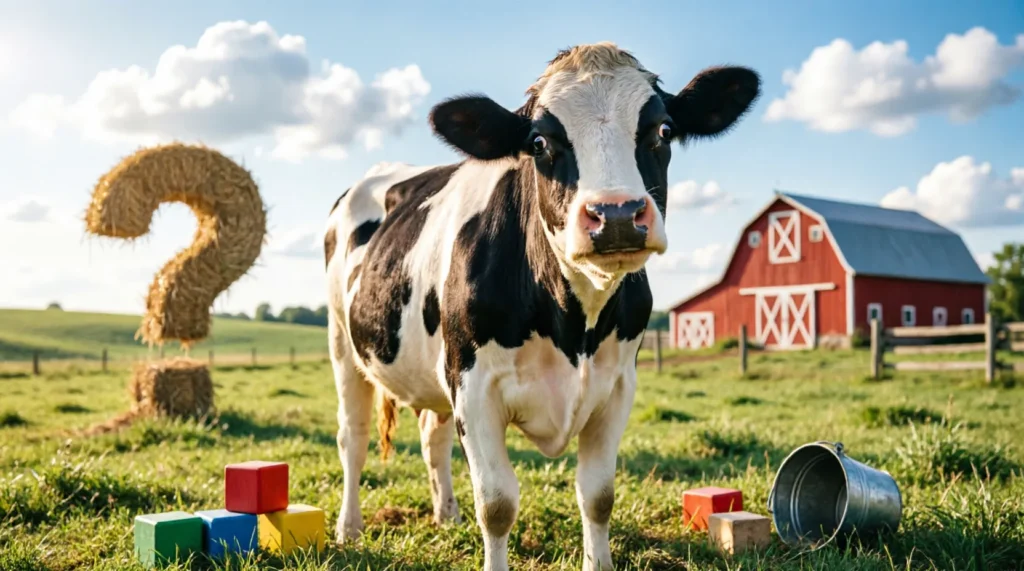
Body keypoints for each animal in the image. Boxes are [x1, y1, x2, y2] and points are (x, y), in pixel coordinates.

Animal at [323, 42, 759, 570]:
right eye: (538, 142)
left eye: (664, 130)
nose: (616, 214)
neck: (575, 323)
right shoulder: (473, 387)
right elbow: (496, 504)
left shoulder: (617, 387)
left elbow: (598, 496)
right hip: (344, 345)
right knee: (353, 438)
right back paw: (349, 528)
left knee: (432, 436)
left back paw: (446, 515)